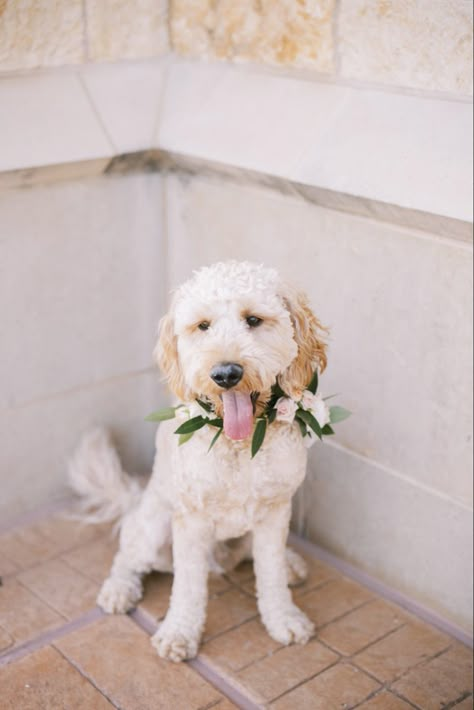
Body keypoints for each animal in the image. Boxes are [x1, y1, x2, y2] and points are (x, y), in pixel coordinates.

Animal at [70, 260, 328, 660]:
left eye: (253, 320)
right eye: (202, 326)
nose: (225, 373)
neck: (240, 444)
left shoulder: (275, 512)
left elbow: (269, 574)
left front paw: (283, 617)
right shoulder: (190, 520)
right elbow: (189, 586)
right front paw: (179, 632)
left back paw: (290, 564)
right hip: (155, 525)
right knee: (127, 553)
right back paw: (119, 588)